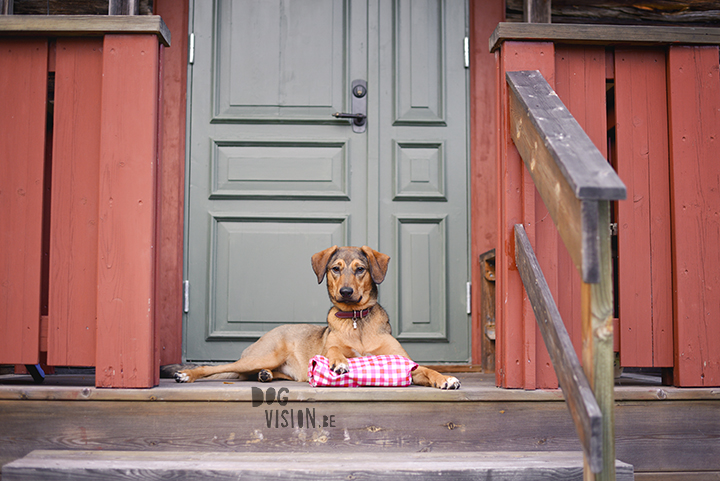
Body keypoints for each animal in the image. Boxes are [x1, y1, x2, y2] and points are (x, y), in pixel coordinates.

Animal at [176, 246, 462, 388]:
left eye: (360, 269)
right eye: (335, 269)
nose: (345, 292)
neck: (356, 320)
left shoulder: (404, 362)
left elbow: (426, 369)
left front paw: (445, 378)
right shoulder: (330, 349)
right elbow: (334, 352)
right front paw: (339, 363)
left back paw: (266, 376)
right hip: (263, 355)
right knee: (219, 368)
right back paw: (187, 374)